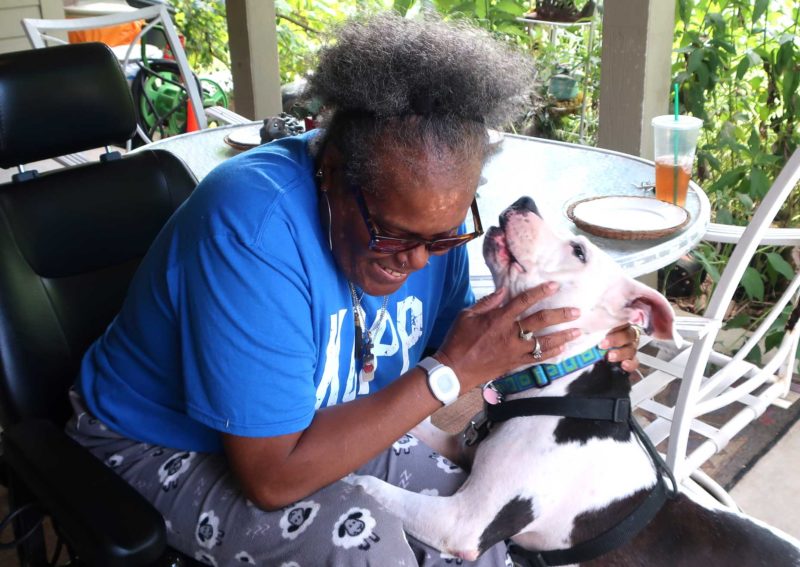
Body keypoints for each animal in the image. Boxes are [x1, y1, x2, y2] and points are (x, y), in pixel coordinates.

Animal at [348, 196, 800, 567]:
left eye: (579, 251)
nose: (524, 200)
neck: (556, 385)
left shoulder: (462, 522)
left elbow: (370, 485)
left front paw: (346, 485)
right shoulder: (463, 448)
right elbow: (417, 426)